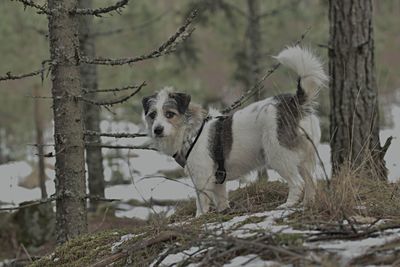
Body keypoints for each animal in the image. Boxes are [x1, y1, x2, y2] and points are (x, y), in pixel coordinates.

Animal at [142, 46, 326, 218]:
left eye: (169, 114)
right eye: (152, 115)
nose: (157, 130)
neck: (190, 132)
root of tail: (294, 102)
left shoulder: (202, 178)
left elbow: (201, 203)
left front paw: (199, 217)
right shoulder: (218, 180)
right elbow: (222, 200)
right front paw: (223, 212)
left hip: (279, 154)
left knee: (297, 183)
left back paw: (288, 204)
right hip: (305, 156)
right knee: (311, 182)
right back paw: (307, 204)